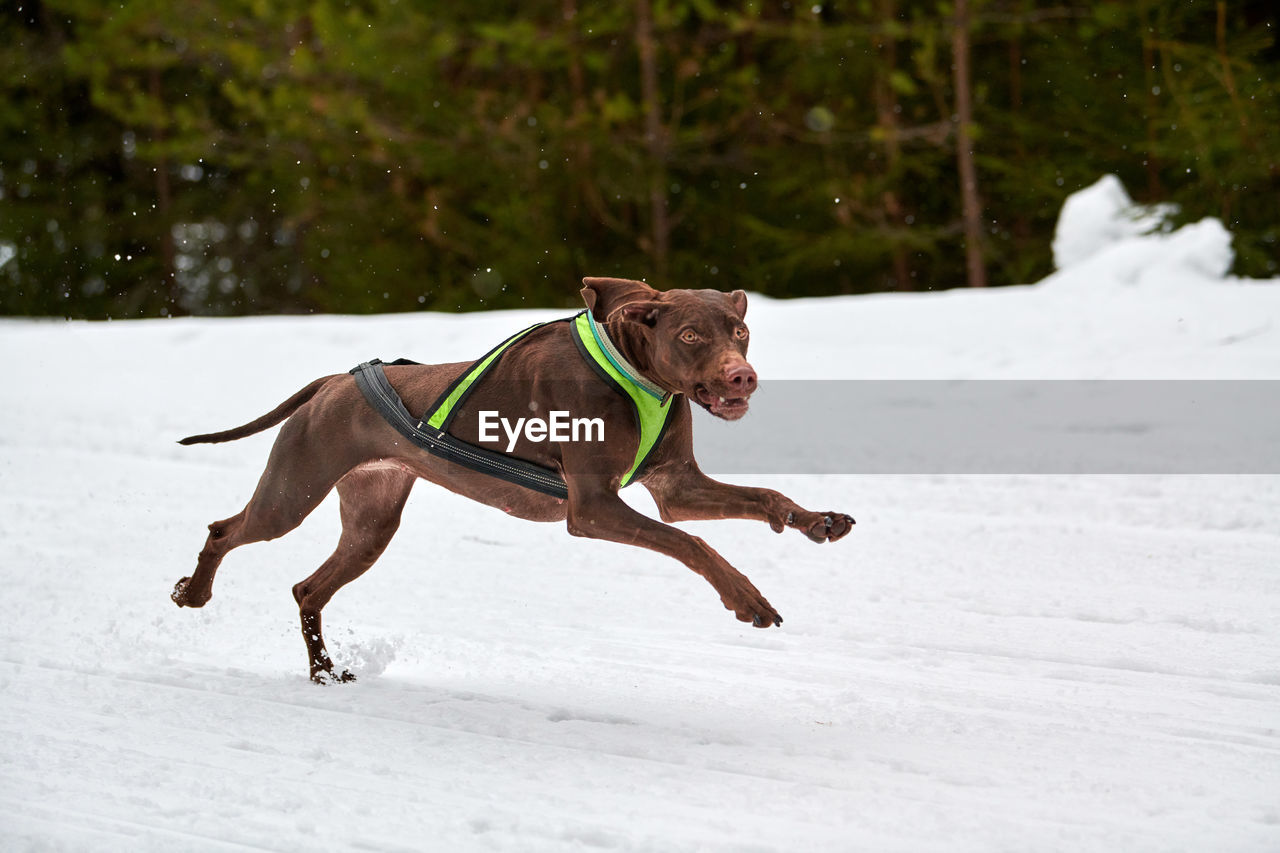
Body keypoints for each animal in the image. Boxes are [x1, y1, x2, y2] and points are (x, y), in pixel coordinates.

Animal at [167, 275, 849, 681]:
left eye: (740, 331)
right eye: (688, 334)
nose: (741, 376)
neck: (635, 372)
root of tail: (336, 379)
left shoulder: (676, 487)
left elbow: (763, 496)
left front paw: (817, 521)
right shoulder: (593, 508)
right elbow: (693, 543)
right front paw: (747, 599)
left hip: (371, 523)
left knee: (307, 589)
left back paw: (323, 671)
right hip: (292, 493)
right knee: (225, 530)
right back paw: (192, 594)